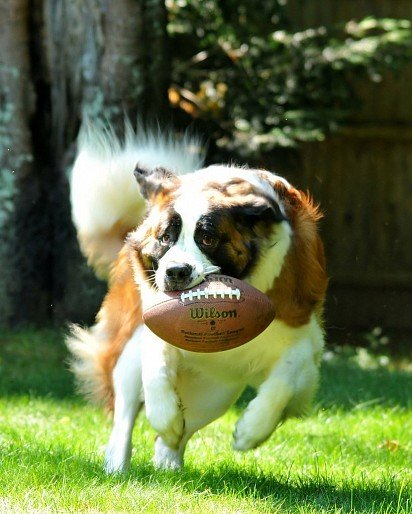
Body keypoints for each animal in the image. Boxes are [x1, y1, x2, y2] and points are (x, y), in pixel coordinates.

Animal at [66, 122, 326, 470]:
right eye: (165, 237)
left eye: (207, 238)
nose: (176, 271)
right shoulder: (154, 322)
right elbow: (156, 366)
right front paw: (165, 416)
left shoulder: (304, 340)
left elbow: (284, 380)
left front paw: (251, 430)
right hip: (130, 355)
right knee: (125, 415)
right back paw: (119, 466)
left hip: (216, 393)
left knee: (179, 431)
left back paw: (169, 463)